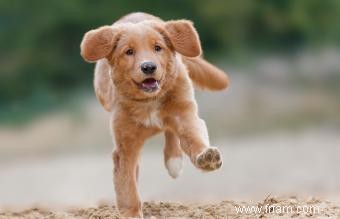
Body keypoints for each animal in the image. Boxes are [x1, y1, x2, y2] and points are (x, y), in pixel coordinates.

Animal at [80, 12, 228, 218]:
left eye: (158, 48)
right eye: (129, 52)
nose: (148, 67)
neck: (149, 102)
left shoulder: (185, 116)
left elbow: (193, 139)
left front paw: (206, 158)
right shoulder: (125, 145)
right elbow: (127, 185)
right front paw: (131, 213)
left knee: (171, 132)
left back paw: (174, 160)